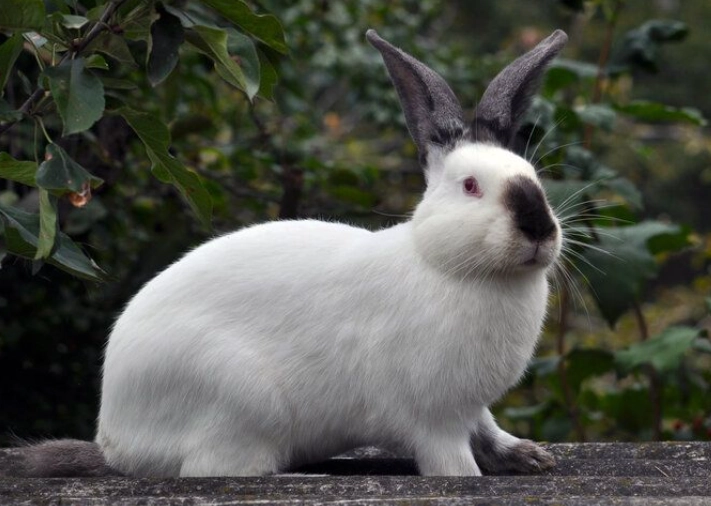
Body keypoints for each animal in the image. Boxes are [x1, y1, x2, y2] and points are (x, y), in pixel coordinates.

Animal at [10, 28, 567, 478]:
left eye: (533, 178)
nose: (539, 228)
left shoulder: (472, 409)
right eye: (471, 186)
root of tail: (116, 442)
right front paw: (476, 475)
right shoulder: (436, 419)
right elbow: (453, 463)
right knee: (211, 469)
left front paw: (530, 457)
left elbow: (489, 430)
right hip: (243, 401)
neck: (449, 266)